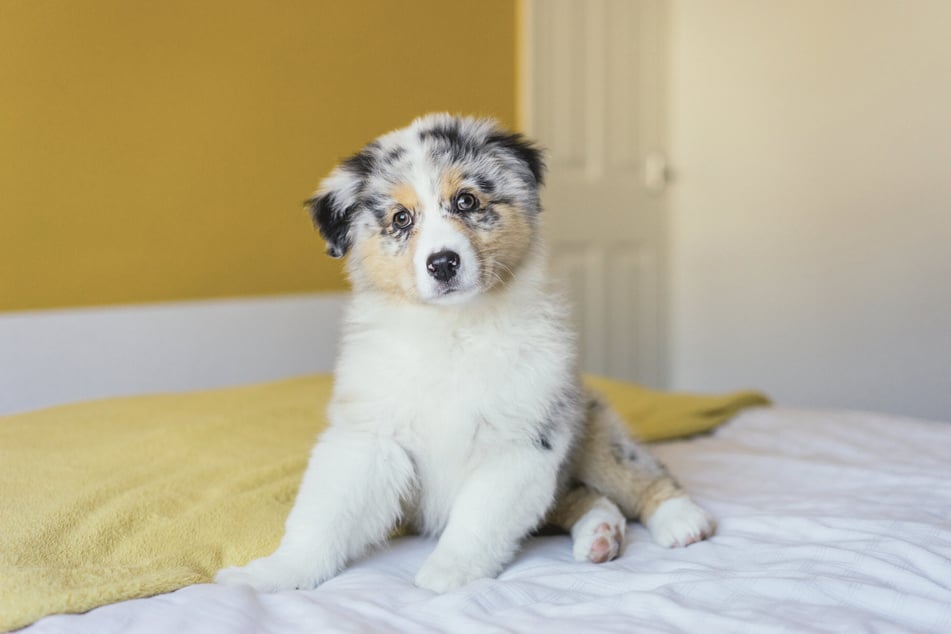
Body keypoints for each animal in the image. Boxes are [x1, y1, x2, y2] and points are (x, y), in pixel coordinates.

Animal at [216, 113, 712, 592]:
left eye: (467, 202)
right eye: (401, 219)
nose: (442, 263)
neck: (453, 330)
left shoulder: (522, 440)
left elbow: (478, 520)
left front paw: (446, 573)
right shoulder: (370, 438)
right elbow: (324, 517)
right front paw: (275, 573)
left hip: (593, 431)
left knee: (640, 473)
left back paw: (683, 522)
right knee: (581, 497)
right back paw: (600, 535)